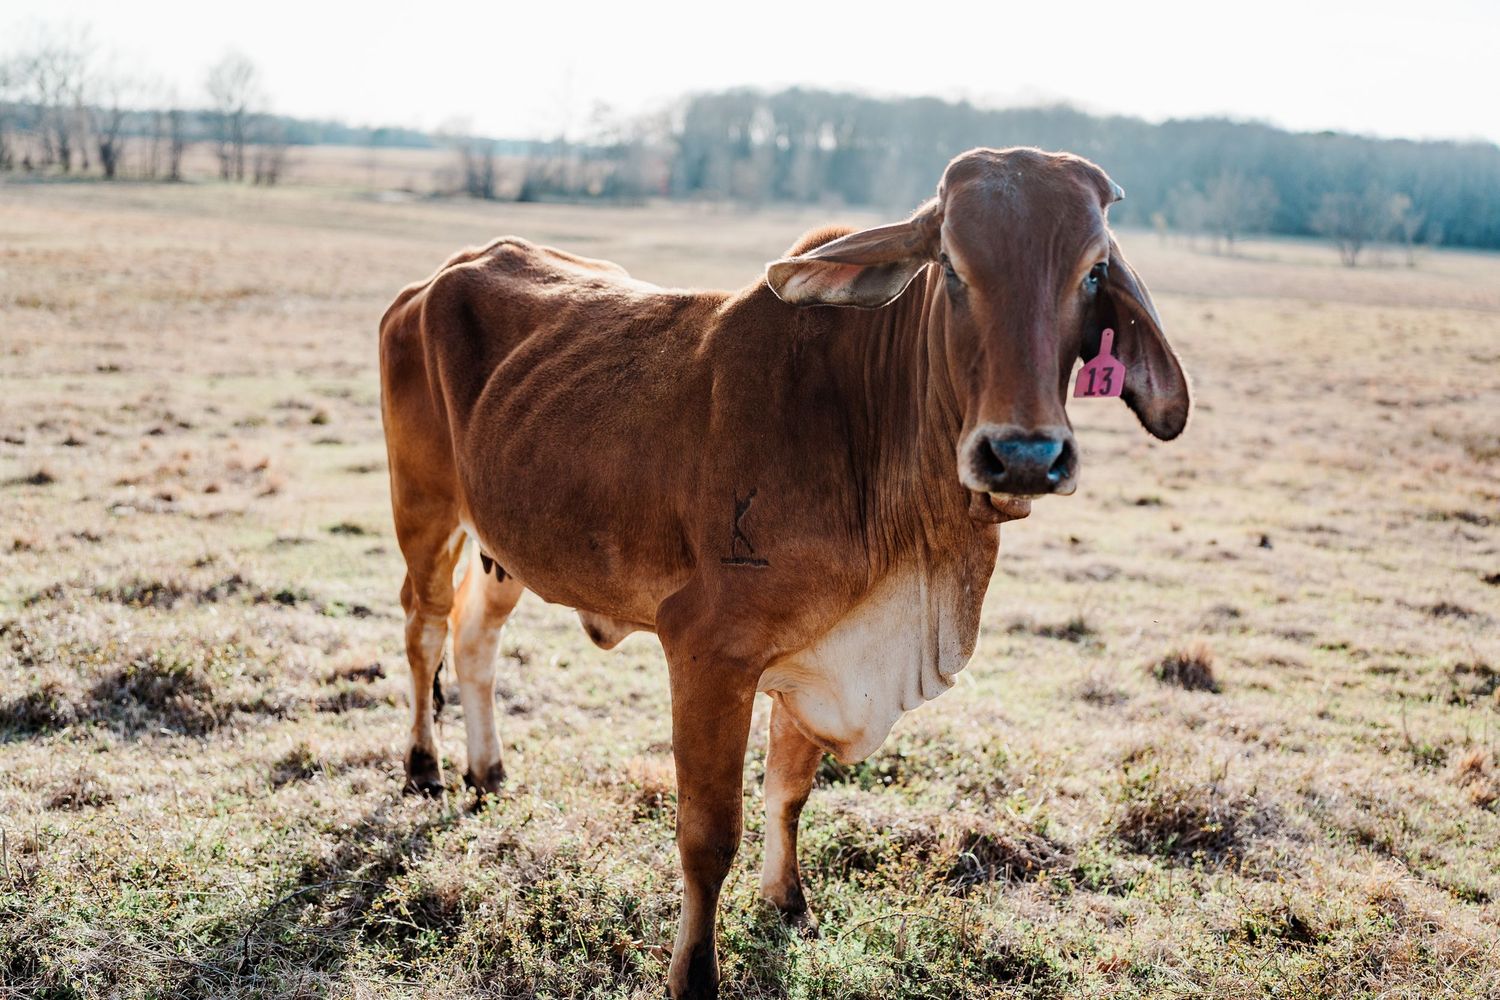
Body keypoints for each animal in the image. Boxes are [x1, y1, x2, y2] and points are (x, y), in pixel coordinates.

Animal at [377, 146, 1189, 999]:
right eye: (953, 265)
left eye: (1093, 271)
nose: (1025, 453)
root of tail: (438, 276)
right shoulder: (707, 652)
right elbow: (709, 836)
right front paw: (695, 972)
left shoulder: (815, 656)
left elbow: (790, 793)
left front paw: (788, 901)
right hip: (425, 509)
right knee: (424, 629)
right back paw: (426, 767)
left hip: (506, 544)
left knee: (474, 638)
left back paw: (488, 770)